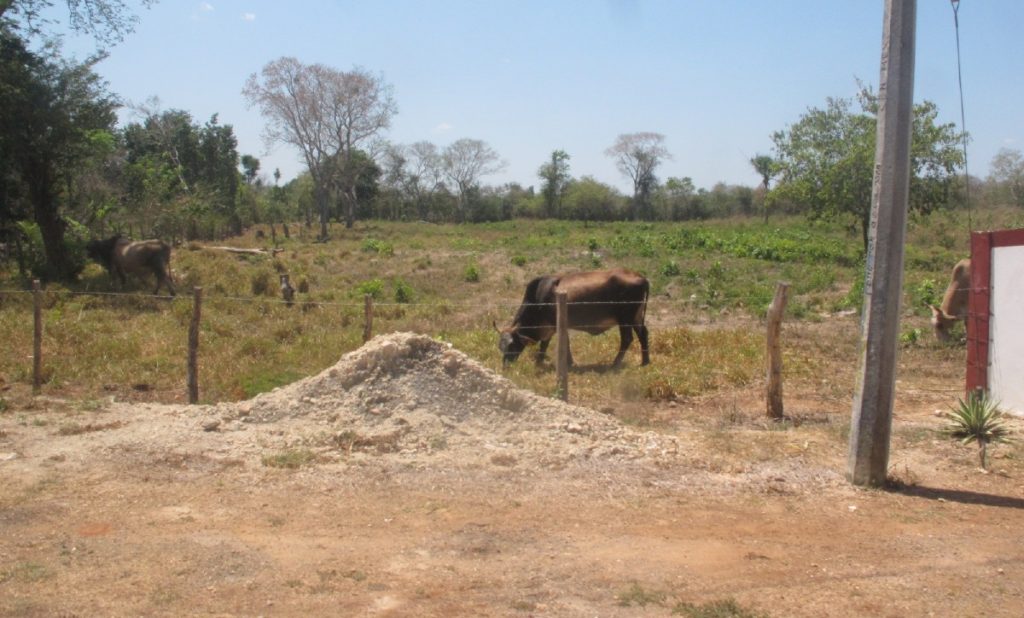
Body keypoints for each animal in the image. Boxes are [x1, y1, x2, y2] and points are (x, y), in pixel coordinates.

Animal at [495, 270, 647, 366]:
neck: (538, 299)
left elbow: (552, 343)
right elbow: (548, 343)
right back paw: (645, 362)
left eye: (512, 345)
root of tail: (641, 277)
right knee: (643, 334)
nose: (506, 366)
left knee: (627, 339)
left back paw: (615, 363)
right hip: (636, 318)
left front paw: (567, 362)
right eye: (500, 347)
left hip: (625, 319)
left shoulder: (555, 326)